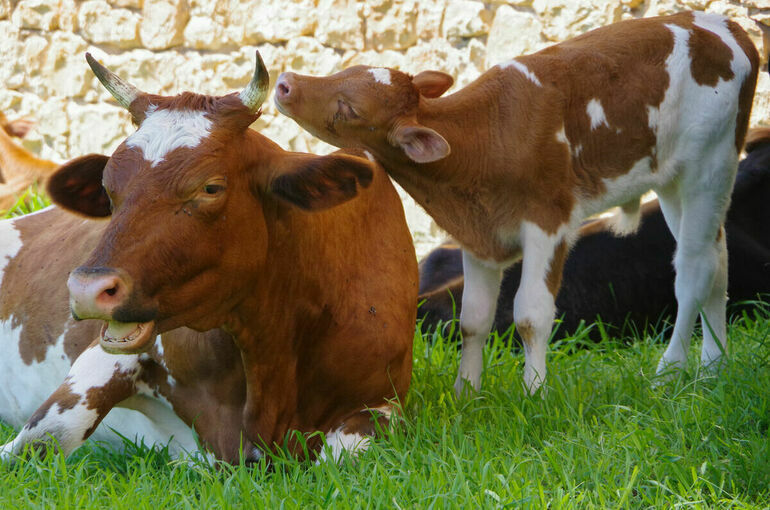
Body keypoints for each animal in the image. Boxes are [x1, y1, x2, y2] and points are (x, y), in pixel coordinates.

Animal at [1, 50, 420, 462]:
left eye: (211, 187)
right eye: (107, 188)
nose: (87, 289)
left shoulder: (382, 404)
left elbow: (344, 453)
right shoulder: (106, 358)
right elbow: (42, 439)